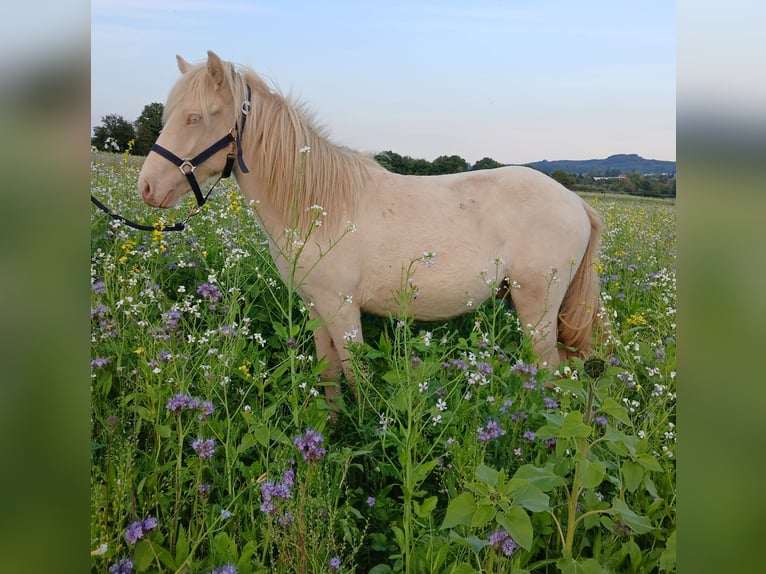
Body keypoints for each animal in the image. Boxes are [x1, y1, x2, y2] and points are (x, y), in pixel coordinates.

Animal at [137, 51, 603, 404]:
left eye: (197, 117)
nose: (148, 187)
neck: (318, 206)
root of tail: (578, 202)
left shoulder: (343, 308)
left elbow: (355, 373)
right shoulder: (315, 306)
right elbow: (328, 372)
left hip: (537, 310)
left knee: (550, 374)